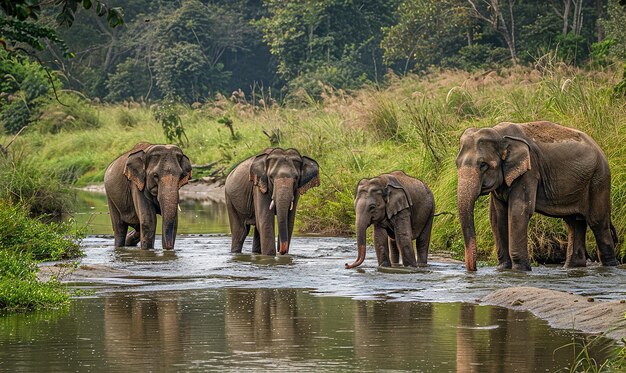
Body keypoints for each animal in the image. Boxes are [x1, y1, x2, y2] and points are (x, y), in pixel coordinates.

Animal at [456, 122, 616, 270]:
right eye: (456, 164)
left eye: (483, 165)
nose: (474, 269)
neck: (499, 134)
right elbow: (497, 216)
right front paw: (503, 269)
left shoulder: (530, 171)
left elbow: (518, 211)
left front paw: (520, 270)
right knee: (574, 222)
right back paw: (572, 267)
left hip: (598, 180)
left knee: (598, 223)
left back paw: (610, 266)